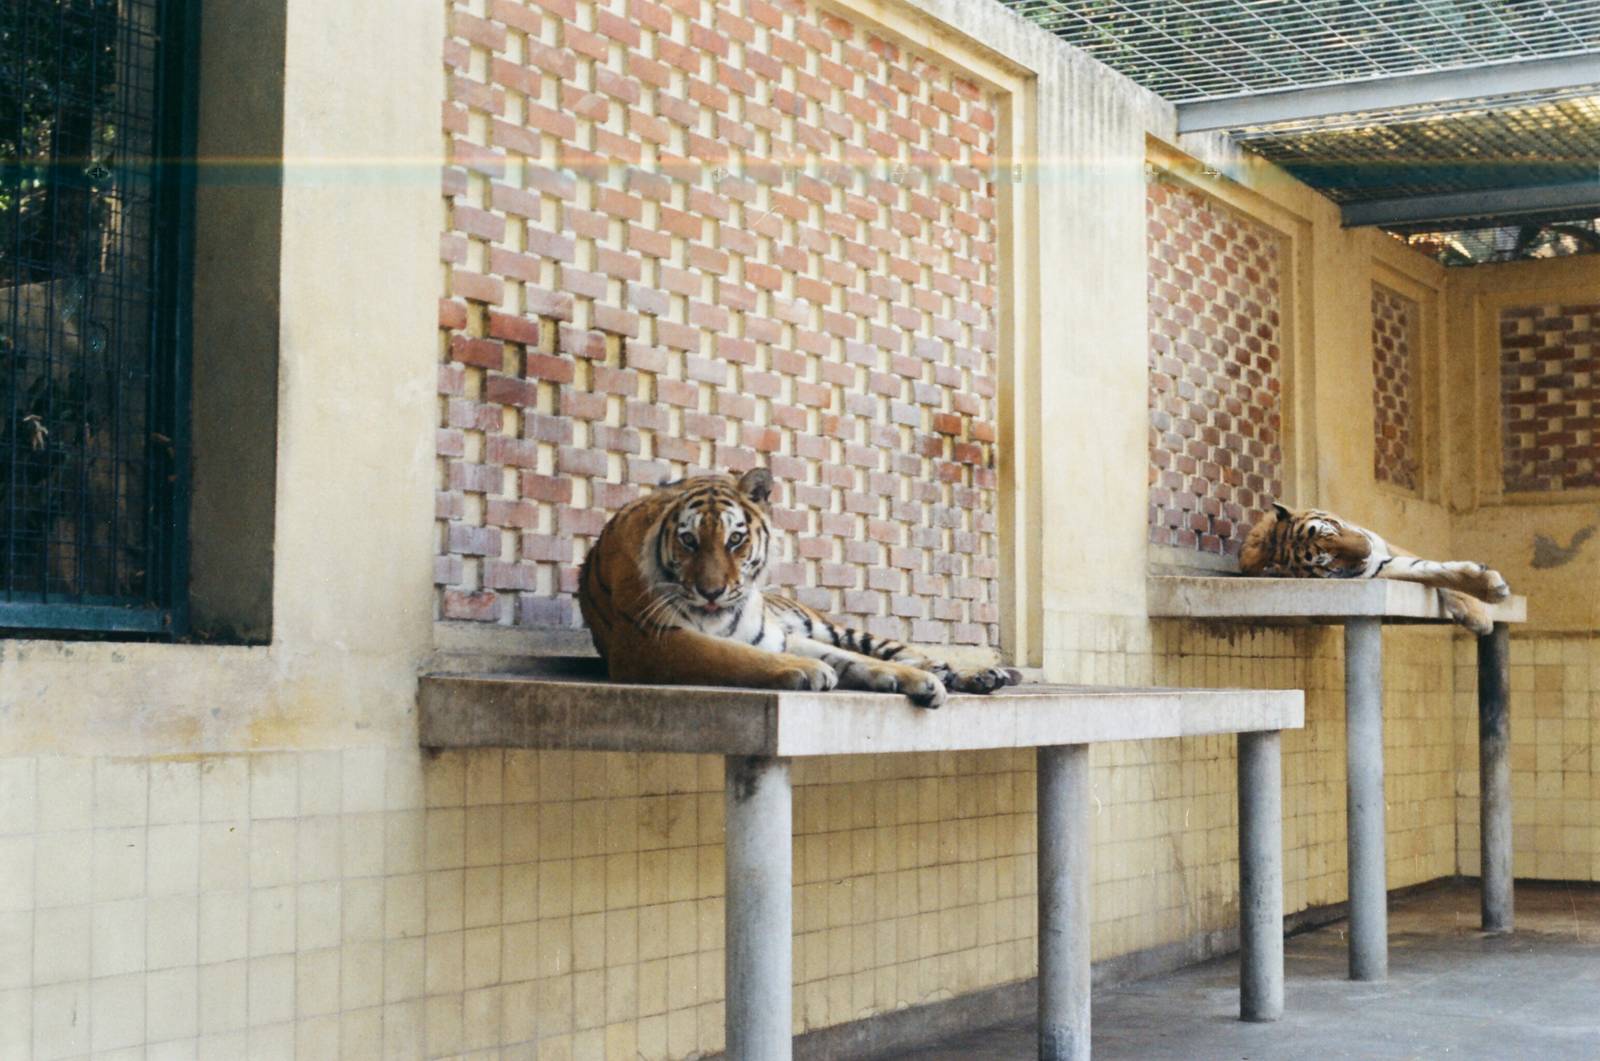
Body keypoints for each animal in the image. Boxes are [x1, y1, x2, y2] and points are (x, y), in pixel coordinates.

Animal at [577, 468, 1022, 708]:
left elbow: (853, 659)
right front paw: (809, 670)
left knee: (919, 655)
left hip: (835, 627)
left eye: (734, 540)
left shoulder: (778, 635)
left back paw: (984, 675)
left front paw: (915, 681)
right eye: (688, 541)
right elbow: (737, 656)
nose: (712, 592)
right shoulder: (651, 641)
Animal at [1240, 502, 1511, 635]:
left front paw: (1484, 598)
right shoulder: (1376, 567)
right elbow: (1428, 570)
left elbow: (1431, 567)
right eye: (1329, 561)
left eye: (1332, 529)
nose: (1367, 545)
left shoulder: (1386, 552)